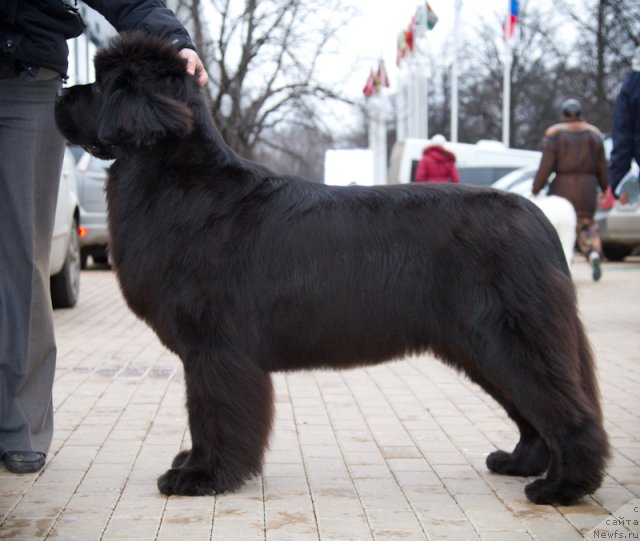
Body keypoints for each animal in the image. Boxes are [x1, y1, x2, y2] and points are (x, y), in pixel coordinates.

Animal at [53, 32, 604, 506]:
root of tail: (538, 214)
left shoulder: (214, 348)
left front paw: (202, 476)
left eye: (100, 84)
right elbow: (203, 413)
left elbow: (212, 412)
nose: (60, 92)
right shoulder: (206, 351)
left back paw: (562, 487)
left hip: (511, 337)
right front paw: (194, 464)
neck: (178, 183)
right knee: (530, 413)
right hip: (483, 347)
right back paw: (519, 462)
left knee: (567, 412)